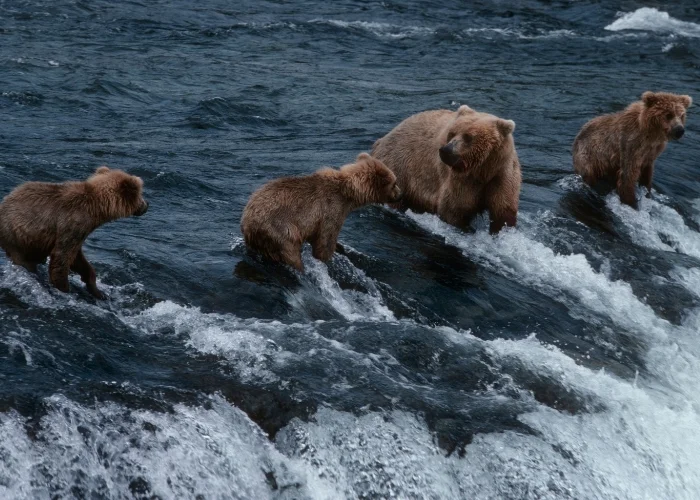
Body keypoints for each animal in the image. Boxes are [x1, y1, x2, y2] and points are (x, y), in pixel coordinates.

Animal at [0, 168, 148, 298]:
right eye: (140, 194)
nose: (146, 205)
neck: (96, 210)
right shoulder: (72, 223)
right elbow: (62, 257)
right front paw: (64, 289)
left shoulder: (81, 232)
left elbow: (78, 259)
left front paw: (97, 290)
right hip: (18, 236)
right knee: (24, 260)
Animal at [239, 152, 400, 272]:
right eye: (394, 183)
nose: (400, 194)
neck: (348, 194)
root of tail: (246, 220)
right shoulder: (330, 210)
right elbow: (325, 241)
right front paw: (328, 257)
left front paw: (340, 248)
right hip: (279, 227)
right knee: (290, 248)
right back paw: (300, 267)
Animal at [372, 105, 520, 234]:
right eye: (452, 133)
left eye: (468, 137)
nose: (446, 150)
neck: (484, 170)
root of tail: (382, 139)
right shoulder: (461, 178)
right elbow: (454, 209)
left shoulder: (502, 174)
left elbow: (503, 210)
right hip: (398, 166)